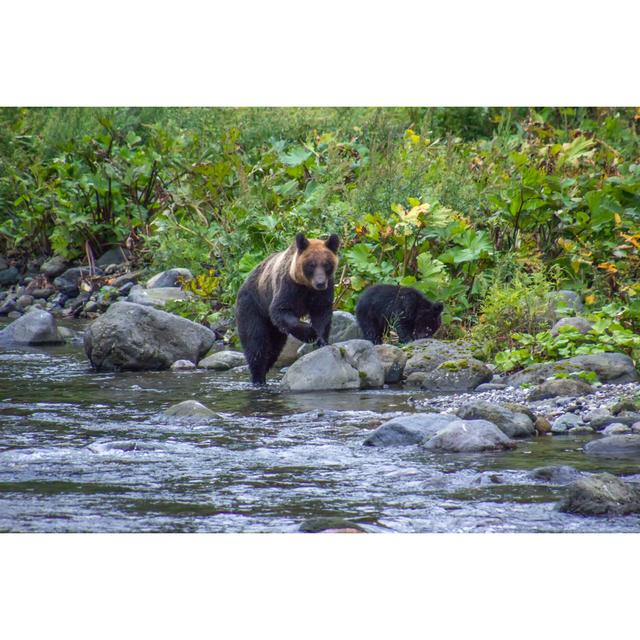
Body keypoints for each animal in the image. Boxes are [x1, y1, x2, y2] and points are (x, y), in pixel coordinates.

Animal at [232, 234, 338, 384]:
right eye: (311, 264)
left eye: (326, 264)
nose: (320, 283)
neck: (306, 286)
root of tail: (243, 283)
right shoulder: (288, 286)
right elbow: (280, 310)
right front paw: (309, 333)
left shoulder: (323, 292)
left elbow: (322, 313)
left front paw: (321, 341)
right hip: (253, 306)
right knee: (256, 344)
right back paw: (258, 378)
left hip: (272, 327)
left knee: (273, 349)